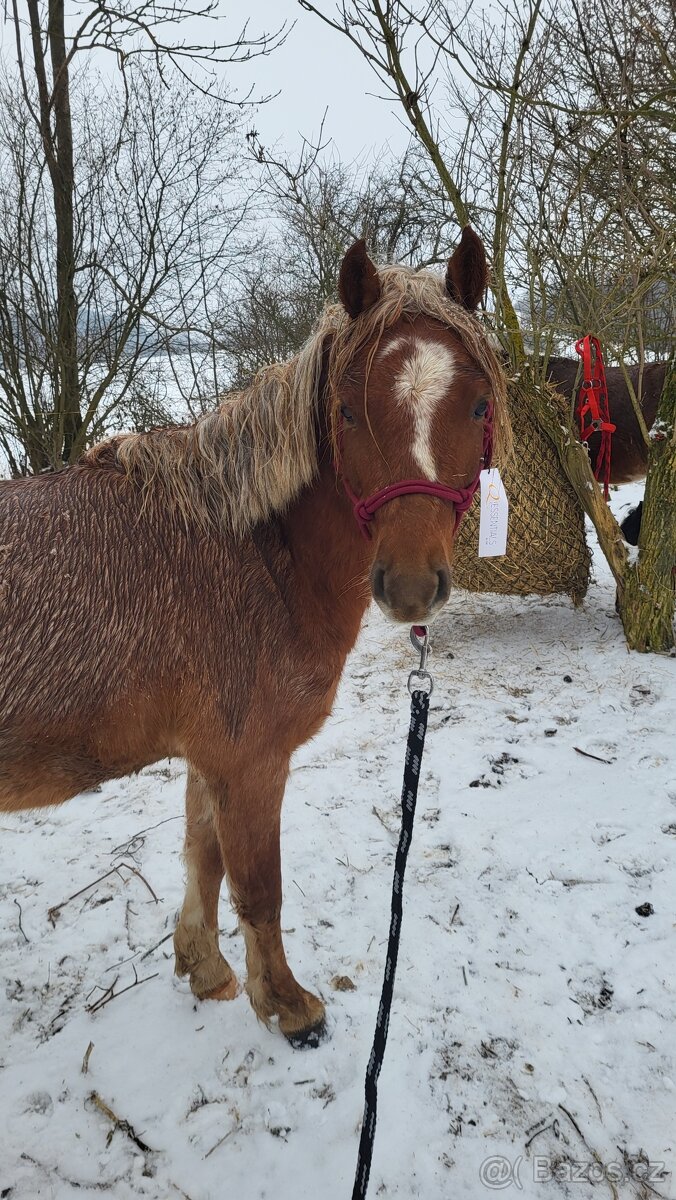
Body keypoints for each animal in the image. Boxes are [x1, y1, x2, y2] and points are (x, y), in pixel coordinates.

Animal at [0, 228, 509, 1047]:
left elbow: (203, 860)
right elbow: (258, 887)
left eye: (477, 403)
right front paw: (289, 1008)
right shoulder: (251, 763)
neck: (253, 553)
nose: (408, 585)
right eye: (348, 411)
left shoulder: (212, 759)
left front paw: (205, 971)